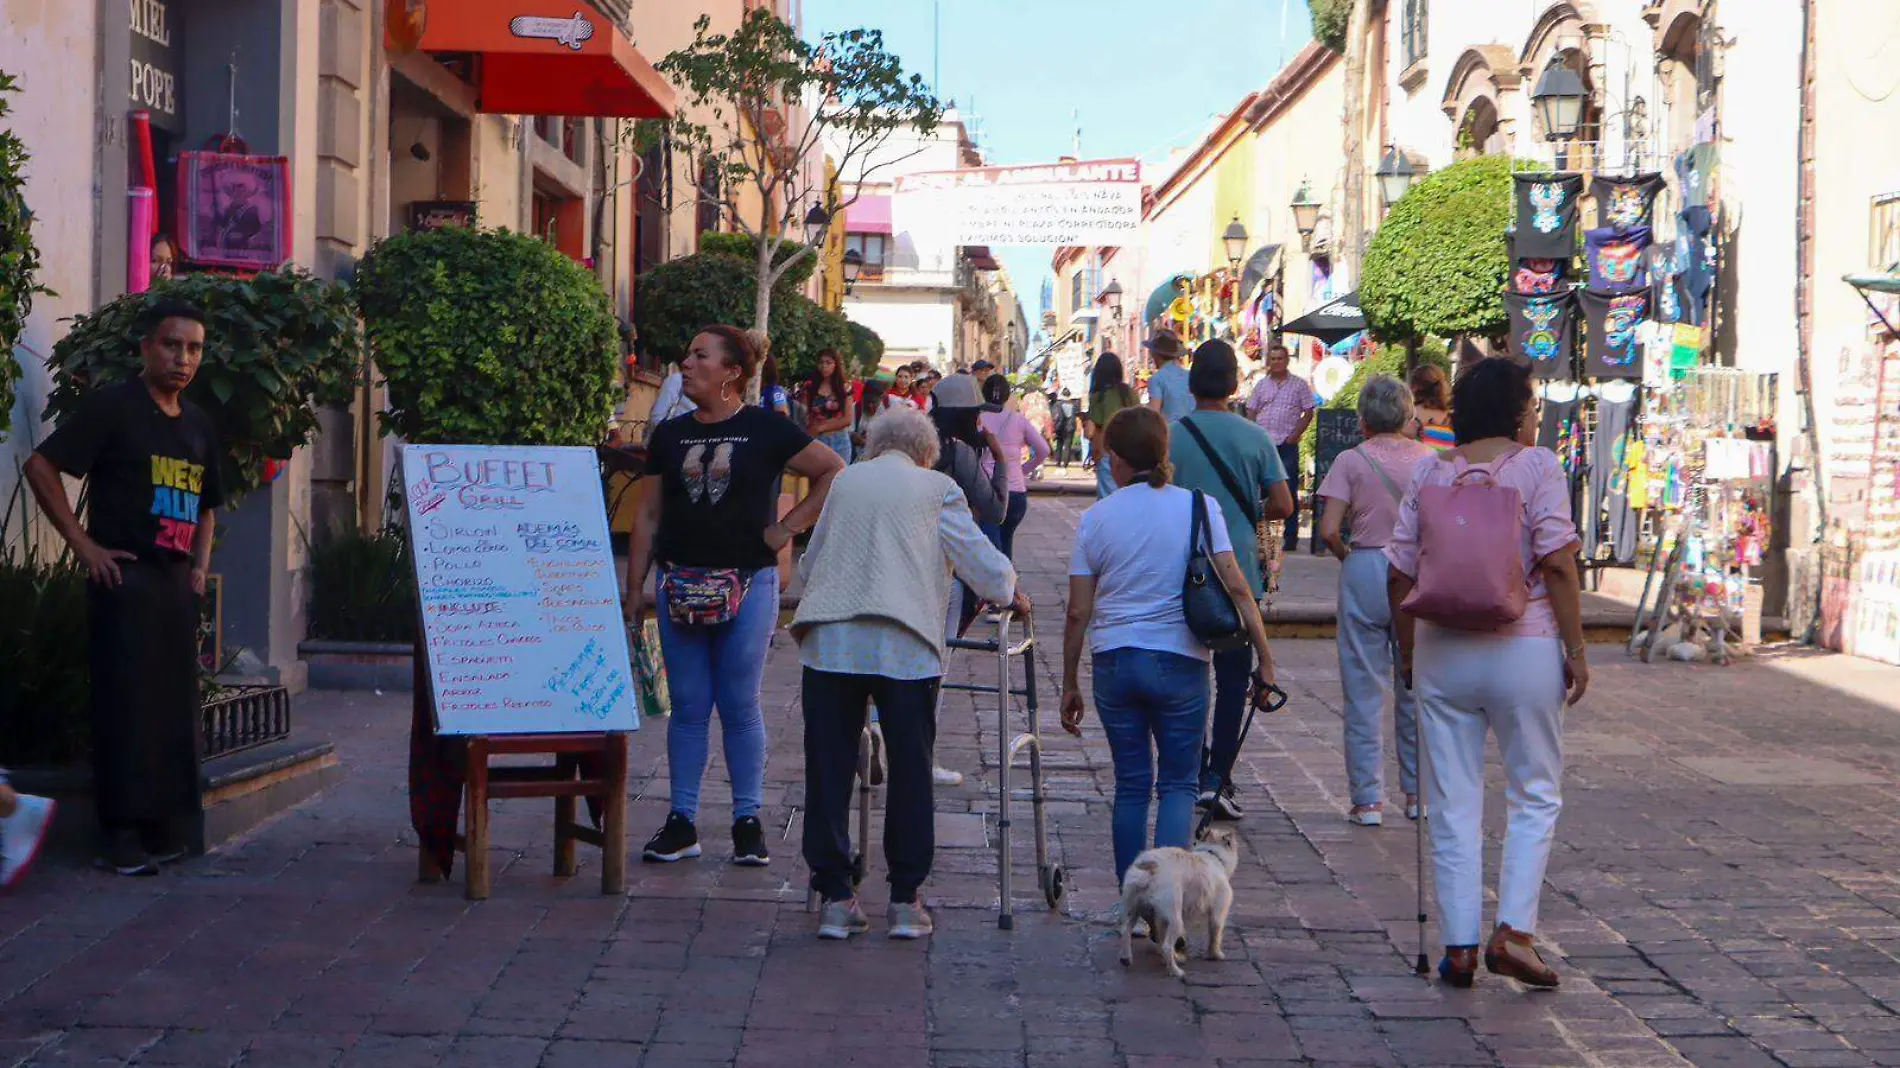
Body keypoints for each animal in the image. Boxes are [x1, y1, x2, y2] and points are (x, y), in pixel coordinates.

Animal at [1109, 824, 1246, 972]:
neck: (1212, 854)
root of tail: (1149, 868)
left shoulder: (1160, 918)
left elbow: (1160, 935)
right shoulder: (1218, 911)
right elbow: (1215, 933)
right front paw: (1215, 954)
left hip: (1133, 906)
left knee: (1127, 931)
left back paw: (1126, 958)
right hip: (1175, 918)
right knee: (1167, 946)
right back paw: (1176, 971)